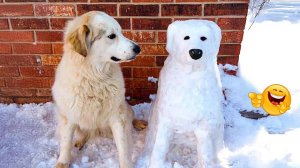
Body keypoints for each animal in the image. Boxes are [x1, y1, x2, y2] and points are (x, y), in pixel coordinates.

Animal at [51, 10, 141, 168]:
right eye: (111, 36)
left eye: (121, 32)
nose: (138, 48)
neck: (94, 77)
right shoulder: (68, 116)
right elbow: (65, 143)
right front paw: (63, 162)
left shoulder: (117, 116)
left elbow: (123, 146)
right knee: (83, 134)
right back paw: (79, 141)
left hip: (126, 109)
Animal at [137, 20, 224, 167]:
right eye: (186, 37)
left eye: (203, 38)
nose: (196, 52)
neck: (191, 76)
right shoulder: (166, 121)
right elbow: (160, 148)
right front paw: (155, 163)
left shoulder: (203, 127)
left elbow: (205, 152)